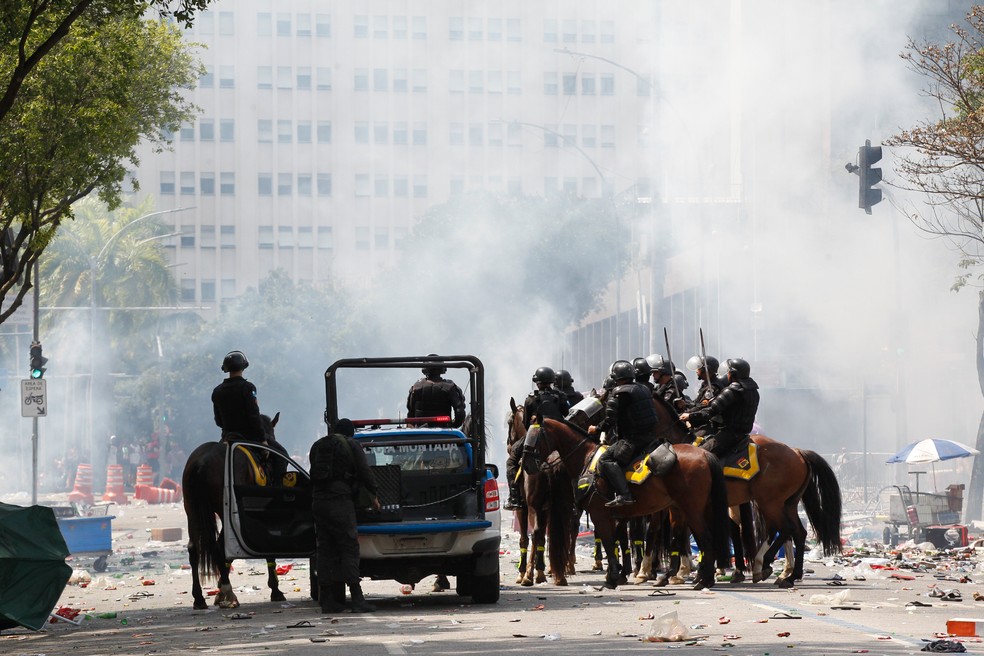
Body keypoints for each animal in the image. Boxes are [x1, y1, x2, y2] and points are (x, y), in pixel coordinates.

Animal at [183, 416, 288, 608]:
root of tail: (202, 463)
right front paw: (275, 590)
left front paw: (218, 592)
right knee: (219, 546)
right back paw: (229, 592)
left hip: (192, 510)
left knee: (195, 548)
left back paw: (200, 598)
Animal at [524, 418, 732, 592]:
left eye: (535, 438)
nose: (527, 465)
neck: (586, 459)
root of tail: (705, 454)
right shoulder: (614, 517)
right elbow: (614, 541)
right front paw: (617, 575)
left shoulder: (600, 514)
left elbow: (609, 543)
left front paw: (612, 579)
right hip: (685, 509)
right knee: (692, 539)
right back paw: (689, 577)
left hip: (692, 510)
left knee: (706, 539)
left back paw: (703, 580)